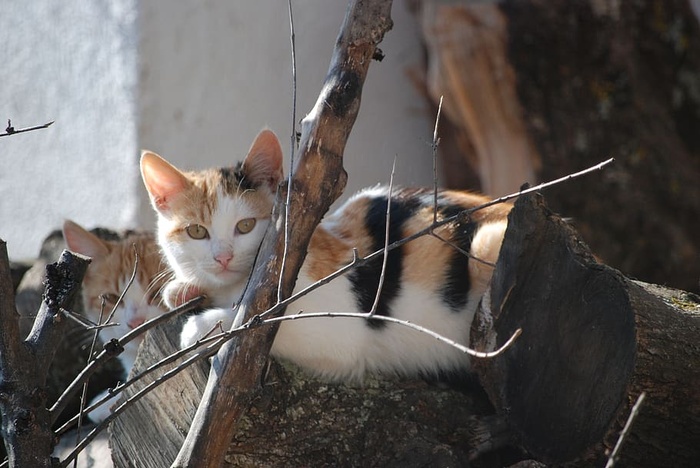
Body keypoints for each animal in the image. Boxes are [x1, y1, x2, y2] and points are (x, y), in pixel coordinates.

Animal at [139, 130, 512, 382]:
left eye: (245, 226)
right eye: (196, 232)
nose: (223, 257)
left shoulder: (337, 329)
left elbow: (262, 323)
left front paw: (200, 327)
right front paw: (182, 289)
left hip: (485, 245)